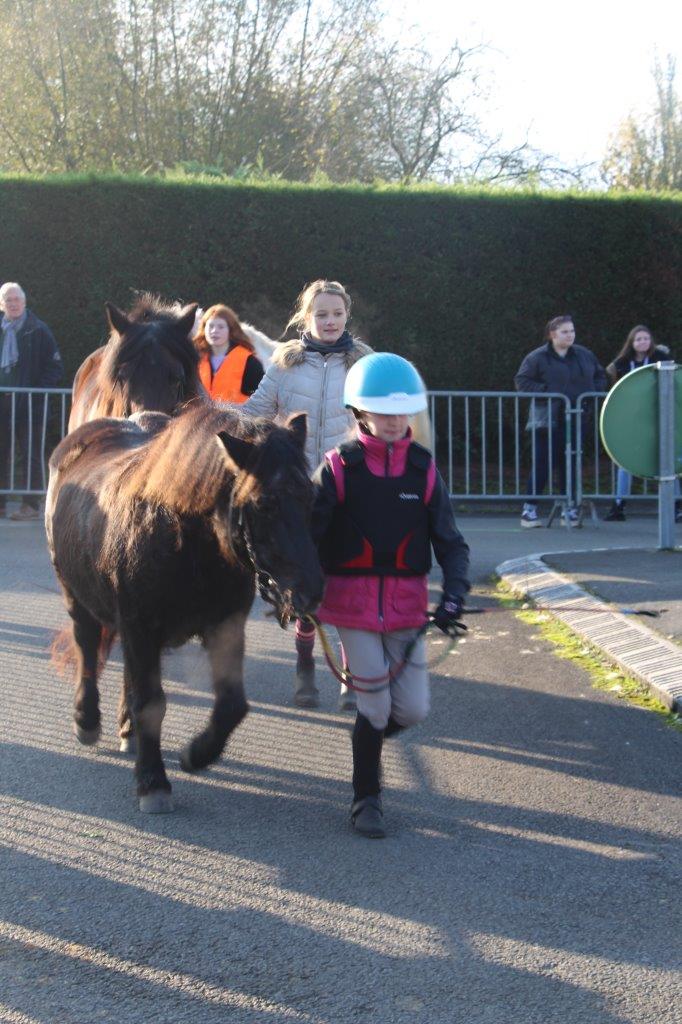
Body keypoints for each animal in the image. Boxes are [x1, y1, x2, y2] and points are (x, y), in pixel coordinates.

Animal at [45, 403, 323, 811]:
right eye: (264, 503)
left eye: (310, 497)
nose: (311, 591)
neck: (182, 538)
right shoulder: (140, 627)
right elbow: (151, 704)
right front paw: (153, 782)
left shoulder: (224, 627)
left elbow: (232, 705)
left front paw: (196, 754)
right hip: (75, 597)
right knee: (86, 649)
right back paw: (87, 720)